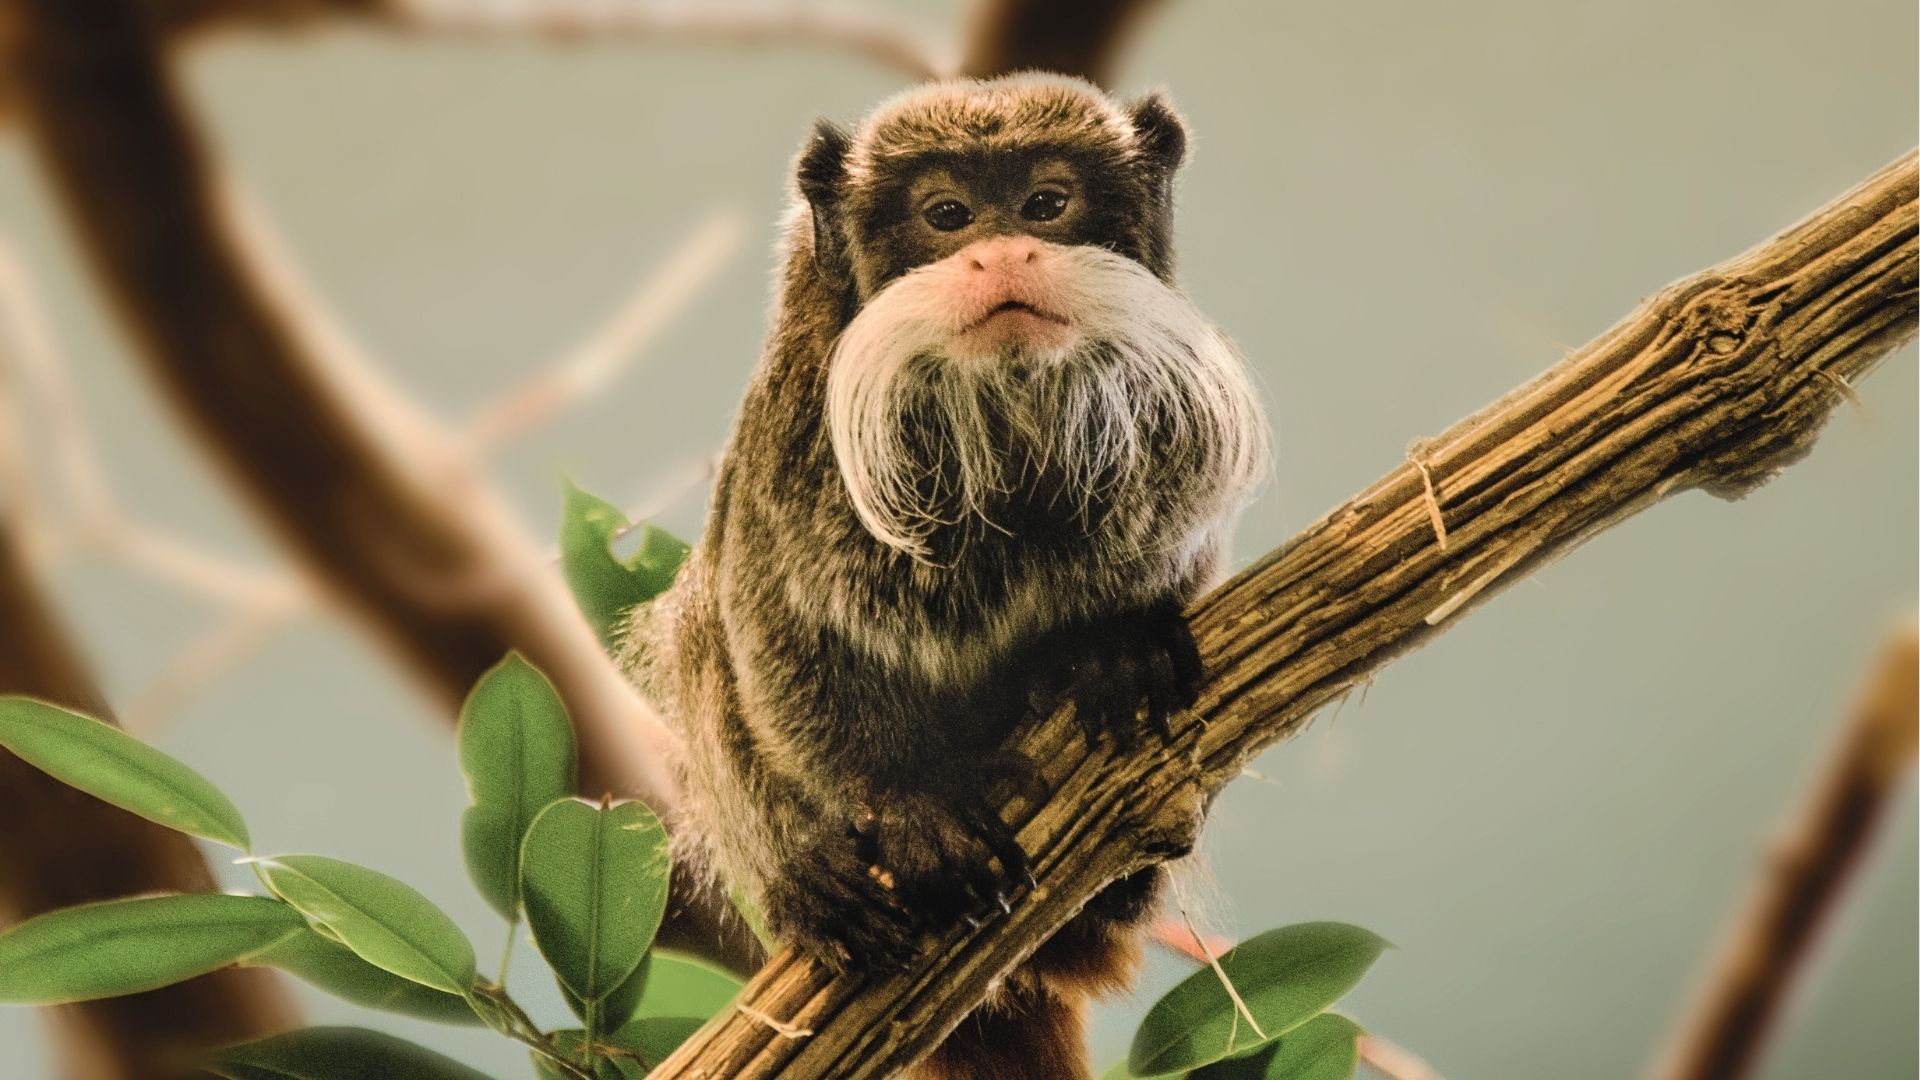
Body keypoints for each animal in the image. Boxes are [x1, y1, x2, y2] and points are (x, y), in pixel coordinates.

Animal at [621, 73, 1268, 1079]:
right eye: (948, 214)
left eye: (1046, 203)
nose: (1001, 252)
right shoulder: (795, 441)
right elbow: (774, 632)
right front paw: (904, 808)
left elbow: (1179, 569)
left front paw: (1114, 649)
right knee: (699, 630)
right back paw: (818, 883)